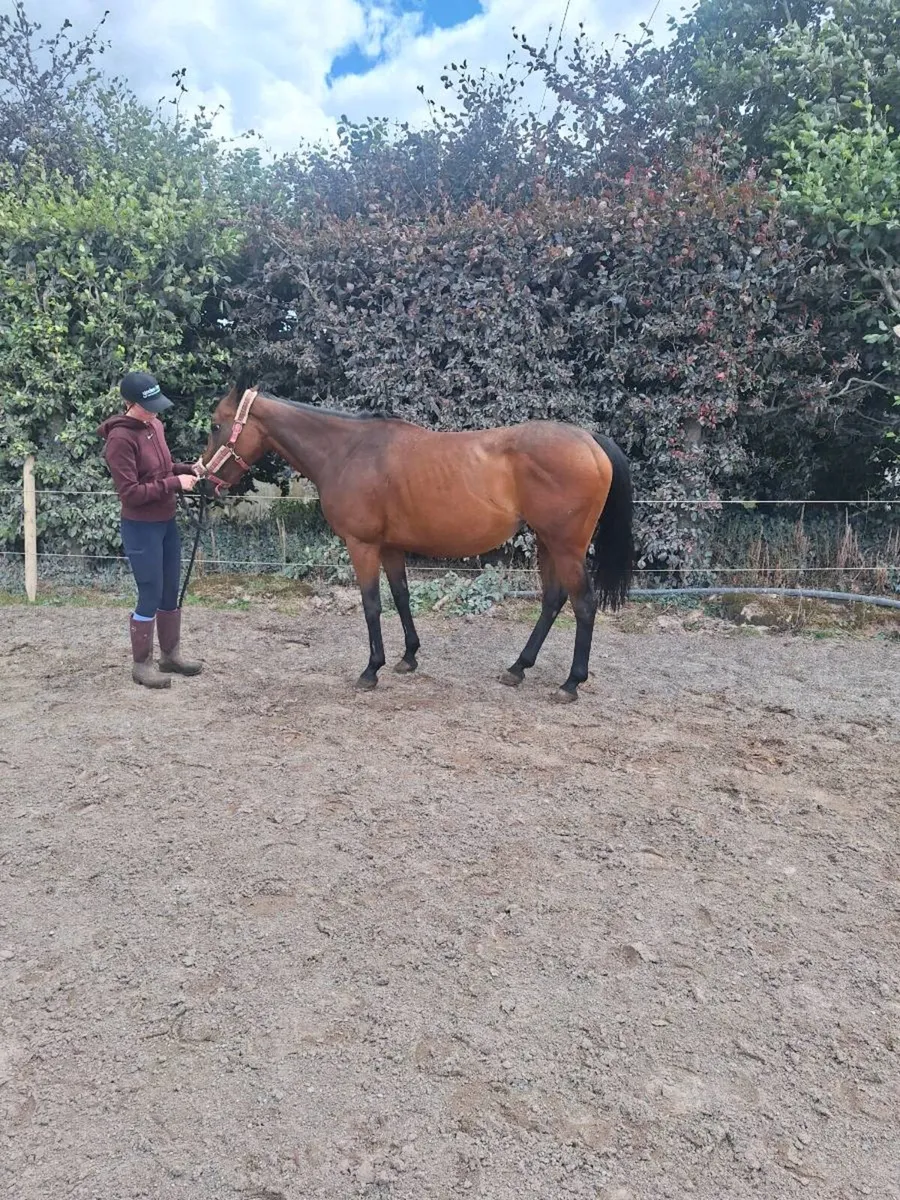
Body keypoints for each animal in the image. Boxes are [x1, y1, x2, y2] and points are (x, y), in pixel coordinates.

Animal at [196, 382, 634, 702]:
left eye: (216, 425)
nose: (202, 480)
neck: (347, 451)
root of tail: (590, 440)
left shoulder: (362, 545)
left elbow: (372, 604)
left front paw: (371, 670)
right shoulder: (391, 547)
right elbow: (401, 597)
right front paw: (408, 657)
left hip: (566, 547)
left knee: (584, 604)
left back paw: (570, 683)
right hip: (547, 543)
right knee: (553, 600)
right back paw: (517, 668)